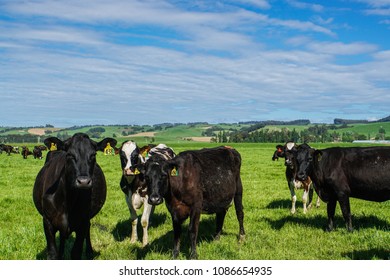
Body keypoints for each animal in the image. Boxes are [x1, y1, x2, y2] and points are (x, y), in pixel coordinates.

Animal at [33, 132, 116, 260]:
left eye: (93, 154)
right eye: (70, 155)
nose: (84, 182)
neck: (68, 200)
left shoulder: (82, 223)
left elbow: (76, 252)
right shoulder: (47, 221)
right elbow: (52, 253)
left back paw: (89, 252)